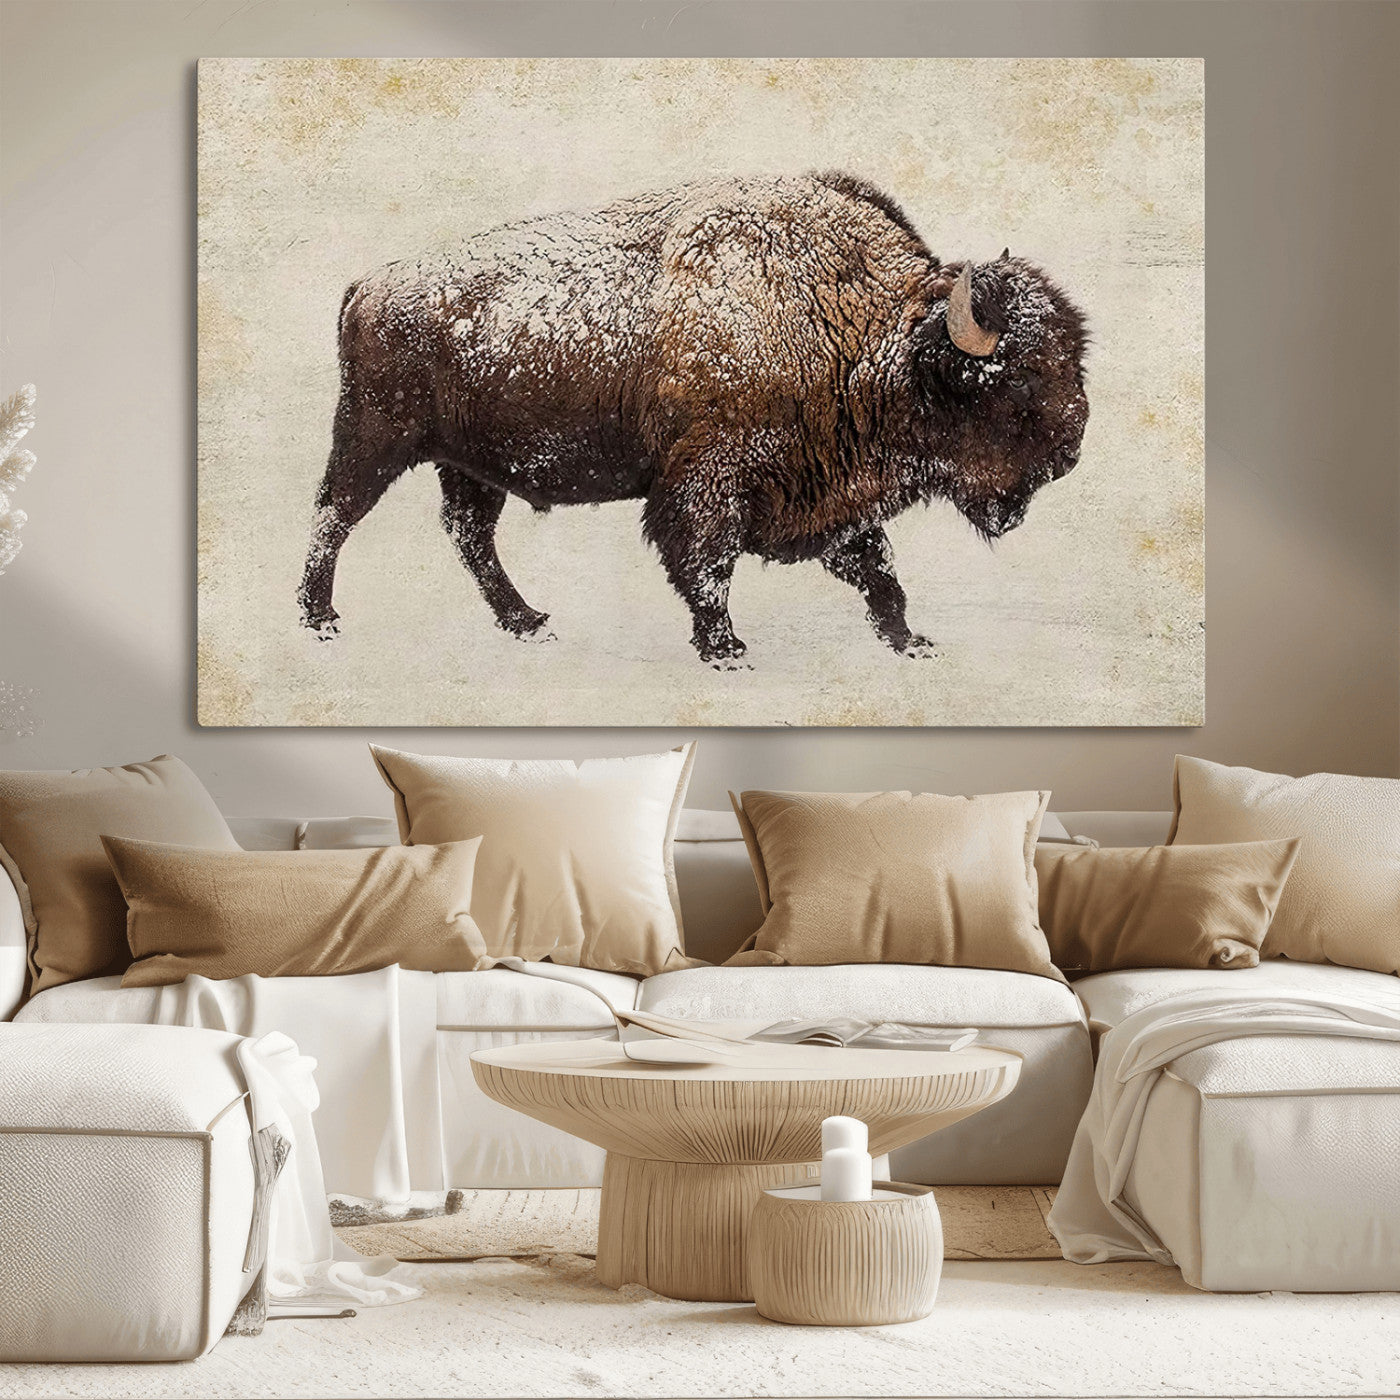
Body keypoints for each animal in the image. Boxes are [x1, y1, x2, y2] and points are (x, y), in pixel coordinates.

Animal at [298, 171, 1089, 667]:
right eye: (1016, 380)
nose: (1071, 452)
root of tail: (368, 284)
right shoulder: (709, 481)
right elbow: (707, 565)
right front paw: (726, 650)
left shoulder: (834, 492)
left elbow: (878, 571)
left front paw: (909, 640)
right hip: (375, 439)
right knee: (334, 515)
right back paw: (319, 620)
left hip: (470, 465)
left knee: (470, 538)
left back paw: (528, 623)